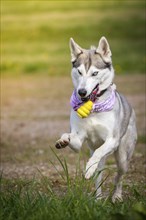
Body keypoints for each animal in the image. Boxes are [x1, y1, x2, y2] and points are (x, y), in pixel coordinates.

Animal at [55, 36, 137, 203]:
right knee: (98, 176)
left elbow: (99, 152)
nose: (81, 92)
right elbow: (70, 137)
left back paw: (117, 196)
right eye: (79, 72)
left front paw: (88, 167)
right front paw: (63, 140)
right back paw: (98, 198)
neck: (93, 107)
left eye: (95, 73)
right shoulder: (79, 139)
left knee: (119, 176)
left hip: (123, 157)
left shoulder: (112, 140)